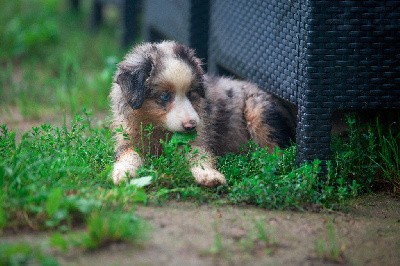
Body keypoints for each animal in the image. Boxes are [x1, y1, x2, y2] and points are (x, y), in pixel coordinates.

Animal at [111, 41, 296, 186]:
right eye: (164, 96)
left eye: (191, 93)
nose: (191, 125)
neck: (158, 129)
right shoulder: (127, 138)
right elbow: (128, 155)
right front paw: (123, 173)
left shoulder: (198, 137)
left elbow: (200, 156)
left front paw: (209, 175)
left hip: (257, 111)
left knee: (278, 153)